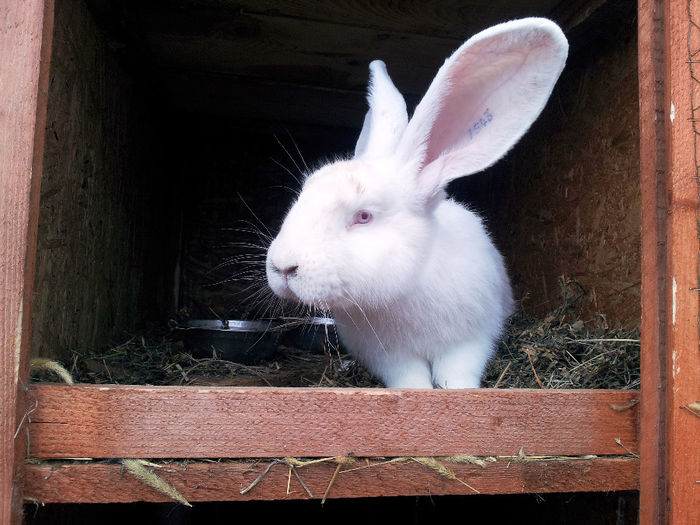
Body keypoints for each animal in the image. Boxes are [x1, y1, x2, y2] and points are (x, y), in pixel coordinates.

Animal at [266, 18, 568, 386]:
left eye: (363, 216)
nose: (282, 267)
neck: (405, 291)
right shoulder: (387, 356)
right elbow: (409, 378)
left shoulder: (471, 339)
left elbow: (457, 371)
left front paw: (457, 389)